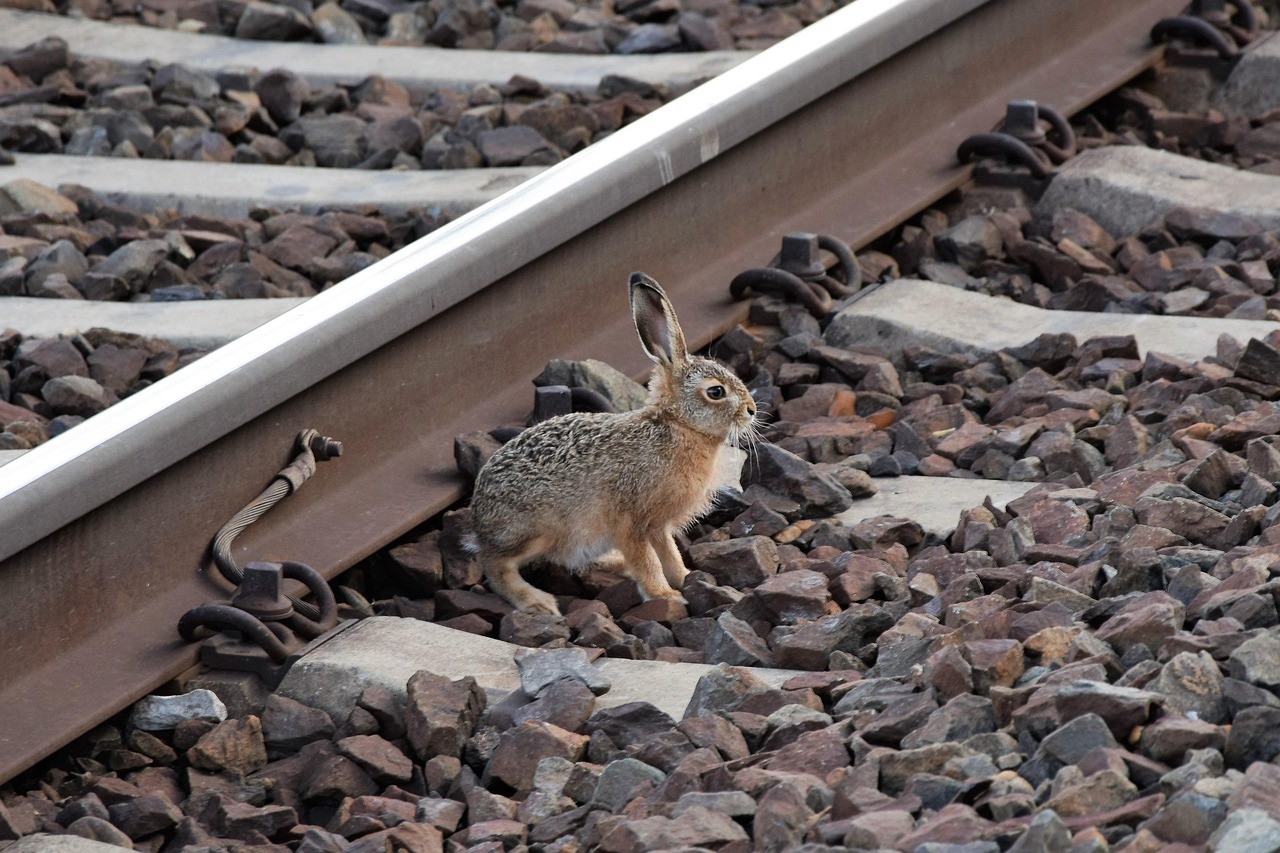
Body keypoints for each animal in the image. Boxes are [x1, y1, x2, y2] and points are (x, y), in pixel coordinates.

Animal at [469, 271, 759, 616]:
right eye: (715, 392)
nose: (752, 410)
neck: (677, 427)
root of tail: (479, 522)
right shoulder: (630, 520)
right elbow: (647, 560)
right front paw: (665, 595)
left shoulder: (657, 526)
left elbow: (669, 553)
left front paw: (685, 577)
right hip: (537, 531)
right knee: (495, 565)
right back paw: (538, 602)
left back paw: (614, 564)